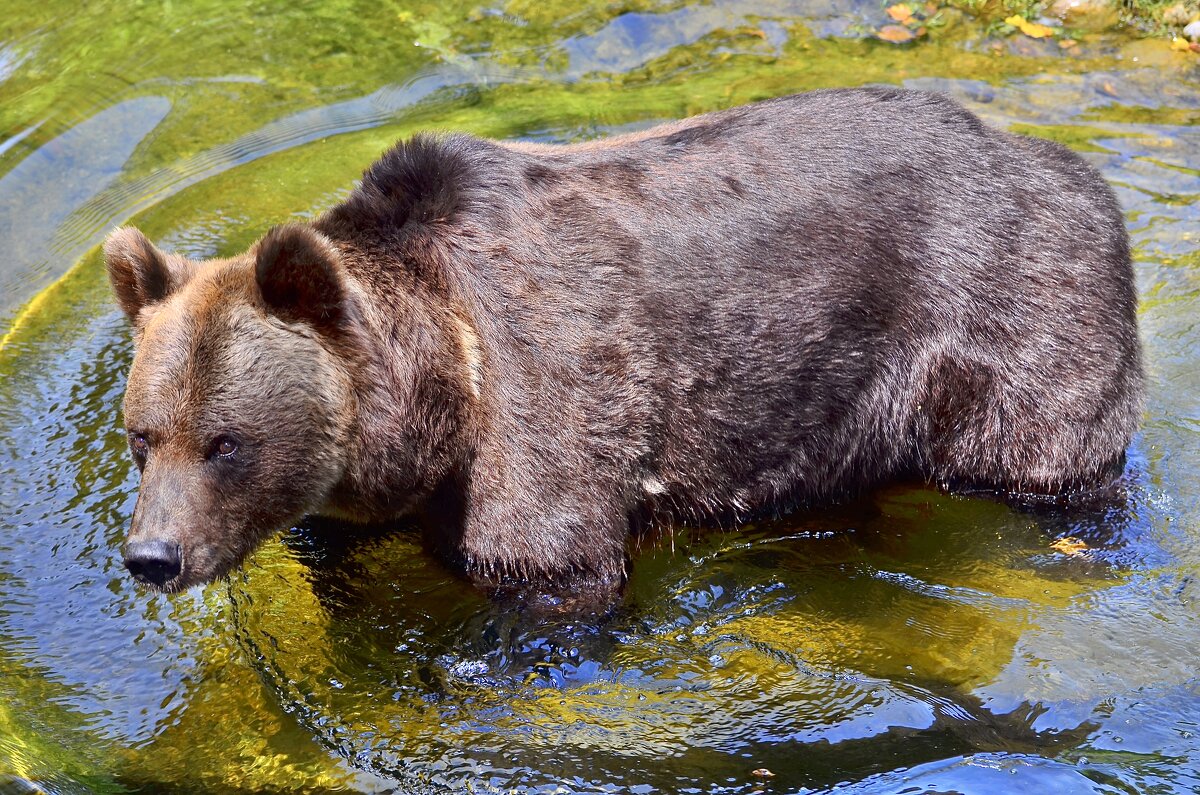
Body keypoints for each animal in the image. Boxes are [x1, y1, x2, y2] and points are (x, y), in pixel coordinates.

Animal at [105, 87, 1142, 598]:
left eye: (226, 440)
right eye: (142, 436)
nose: (153, 555)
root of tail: (1063, 160)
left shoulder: (542, 408)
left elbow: (552, 565)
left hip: (1012, 314)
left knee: (1043, 459)